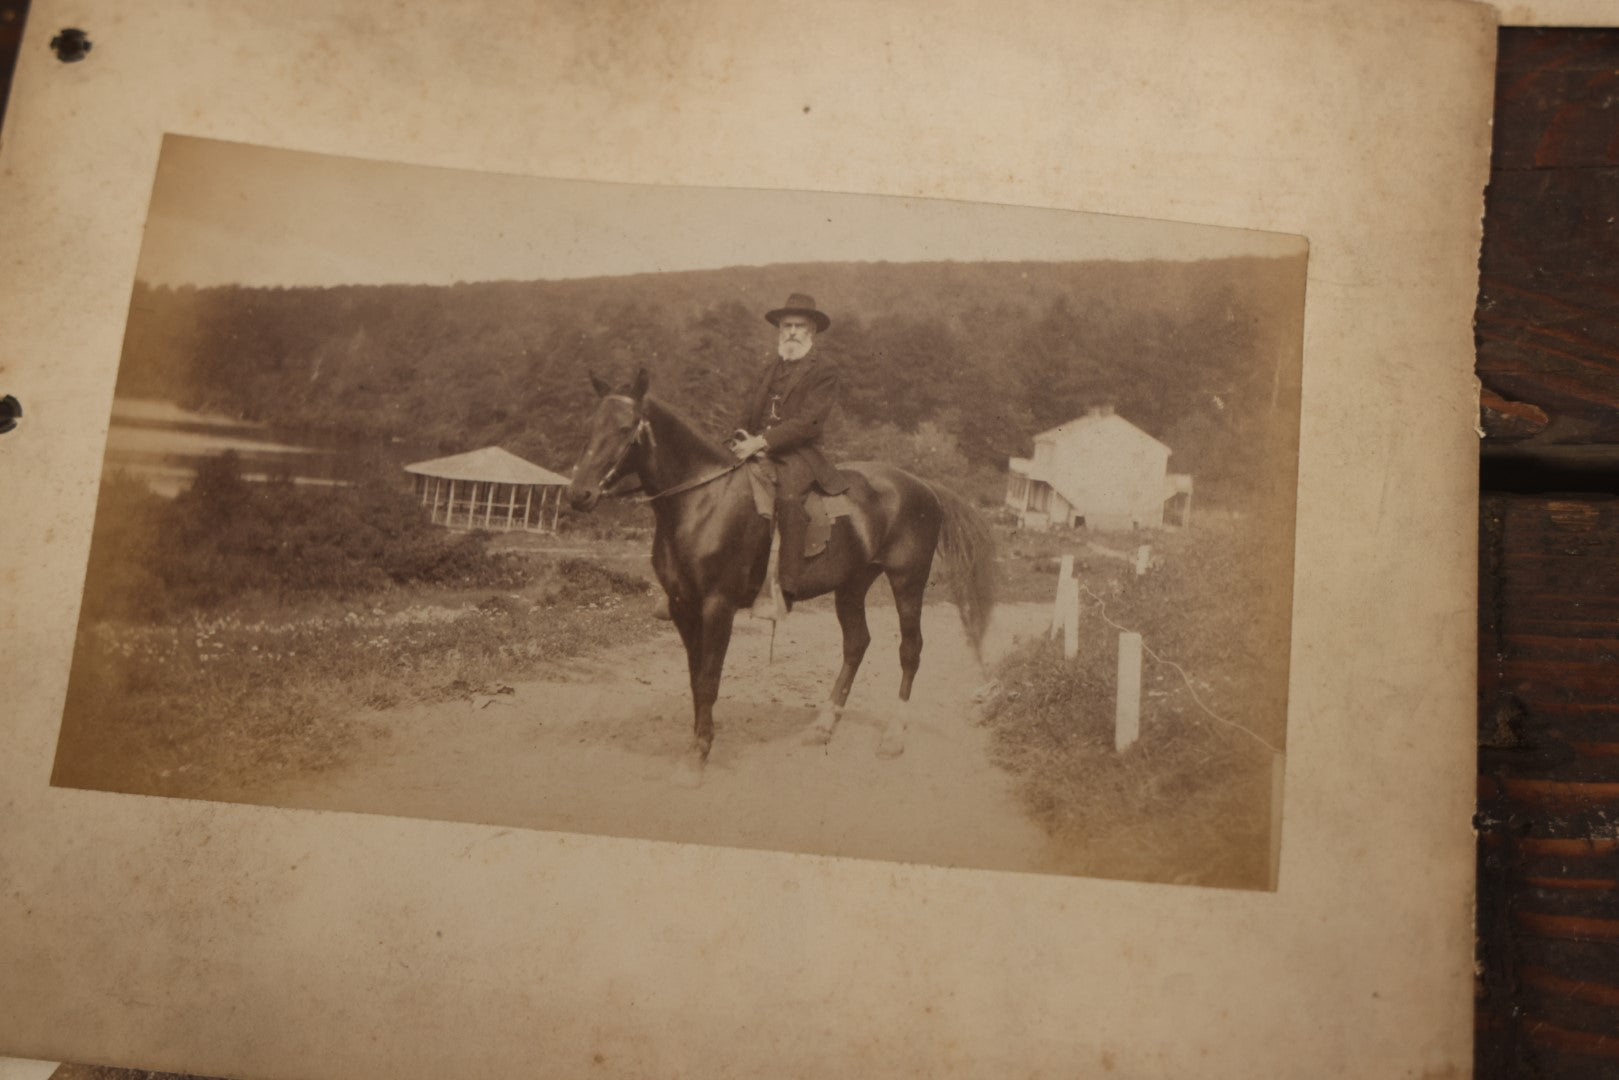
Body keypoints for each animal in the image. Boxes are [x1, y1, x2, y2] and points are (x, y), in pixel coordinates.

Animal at [569, 367, 997, 780]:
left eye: (626, 427)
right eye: (589, 425)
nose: (579, 494)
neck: (704, 502)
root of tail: (925, 485)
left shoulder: (718, 605)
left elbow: (709, 679)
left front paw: (697, 757)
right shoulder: (683, 607)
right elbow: (695, 678)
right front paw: (696, 745)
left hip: (907, 581)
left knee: (910, 650)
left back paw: (893, 737)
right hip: (852, 585)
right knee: (856, 644)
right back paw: (824, 726)